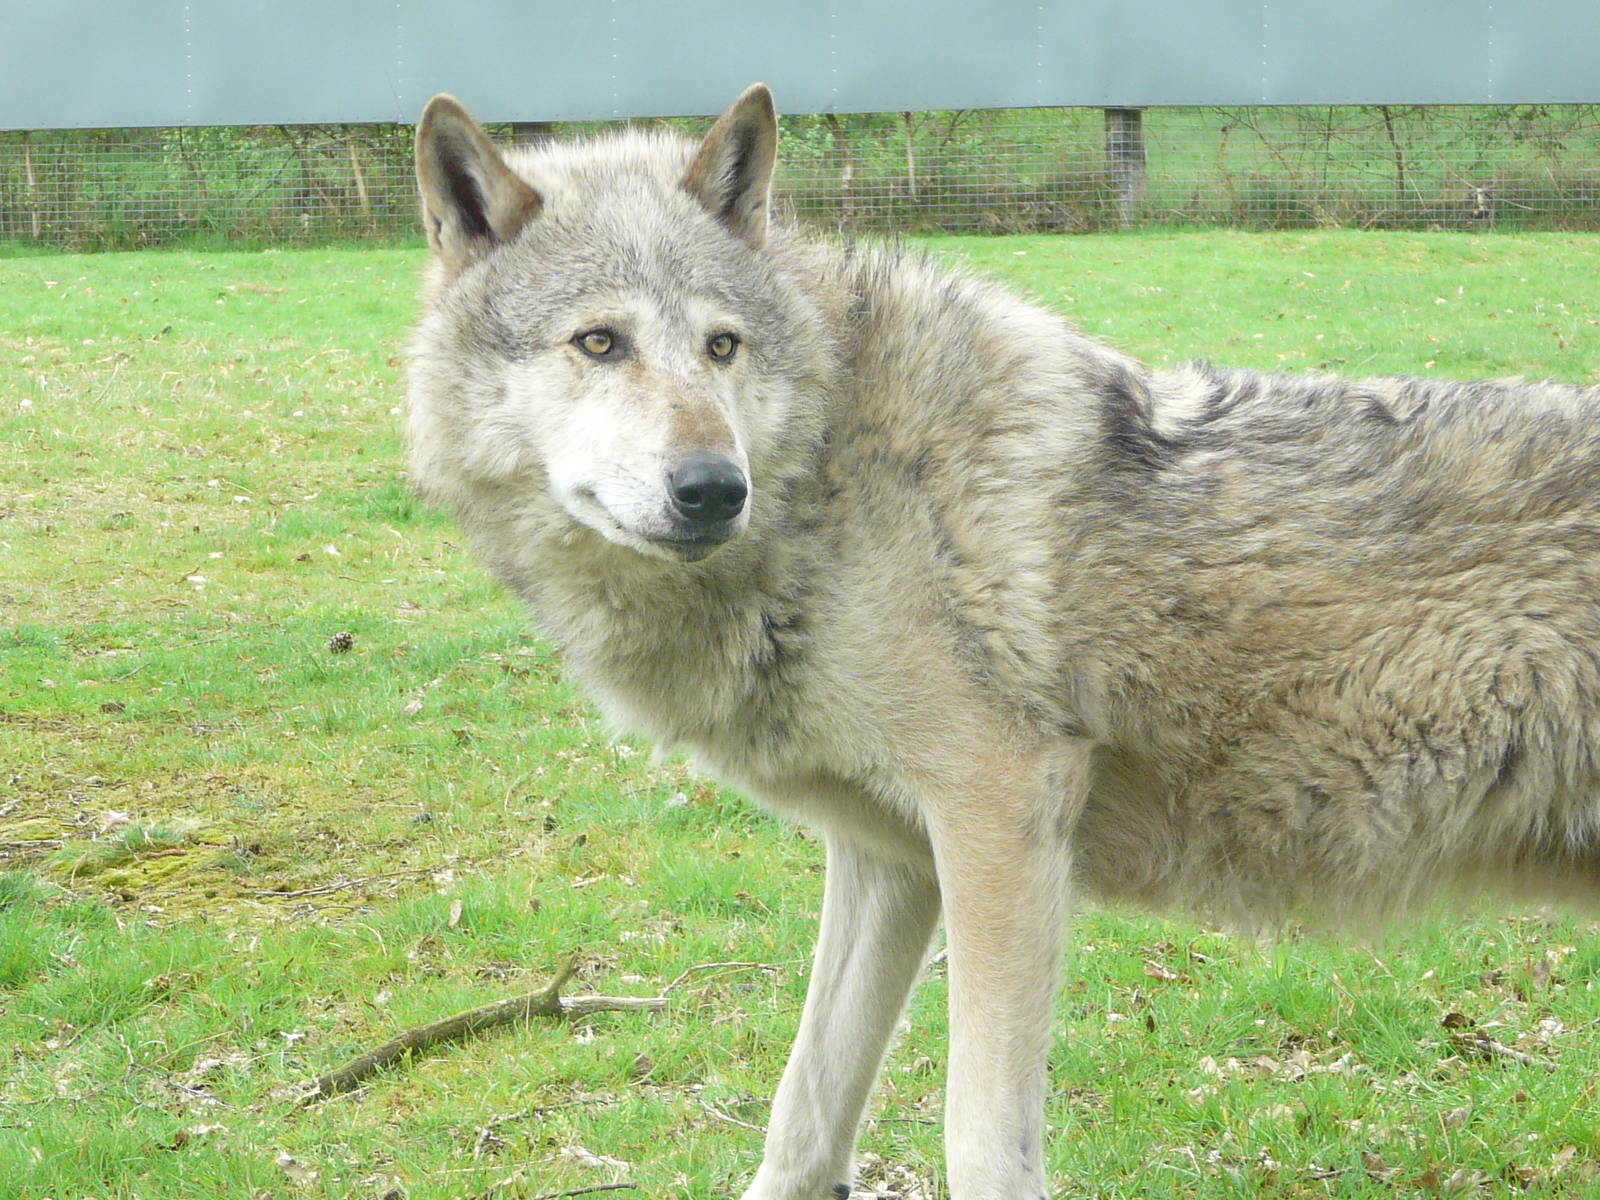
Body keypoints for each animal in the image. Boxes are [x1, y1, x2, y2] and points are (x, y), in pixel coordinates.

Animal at [405, 84, 1600, 1198]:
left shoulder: (1000, 817)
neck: (836, 475)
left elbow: (979, 1145)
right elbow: (800, 1121)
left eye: (720, 346)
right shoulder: (890, 860)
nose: (711, 488)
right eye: (599, 343)